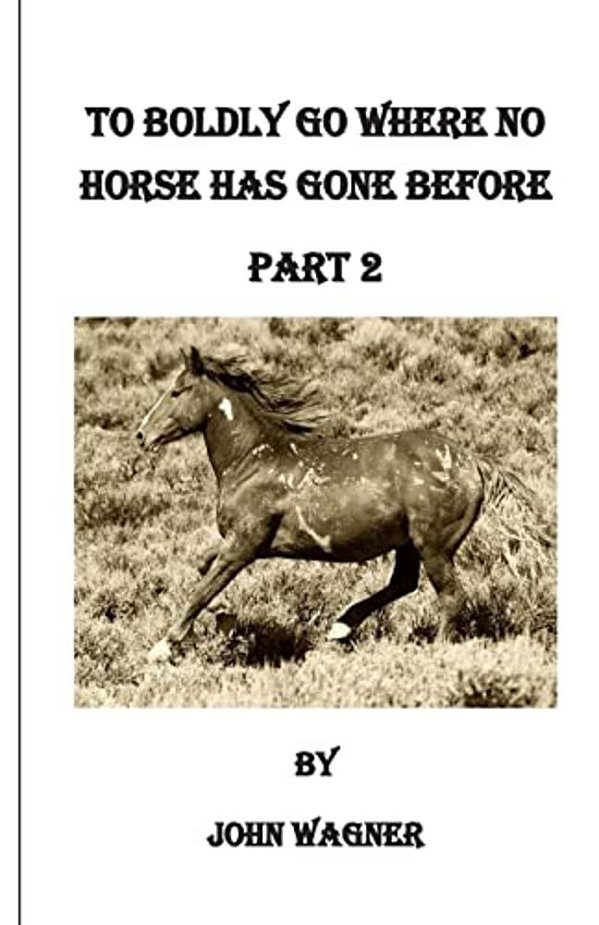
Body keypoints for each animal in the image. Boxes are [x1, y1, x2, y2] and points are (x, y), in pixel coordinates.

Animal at [136, 346, 537, 663]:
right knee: (404, 583)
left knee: (451, 597)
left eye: (177, 391)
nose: (141, 435)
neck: (252, 460)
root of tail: (472, 460)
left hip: (434, 545)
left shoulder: (244, 544)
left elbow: (202, 589)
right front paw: (223, 617)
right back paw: (341, 627)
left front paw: (164, 646)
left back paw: (432, 651)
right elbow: (203, 570)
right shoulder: (242, 543)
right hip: (409, 543)